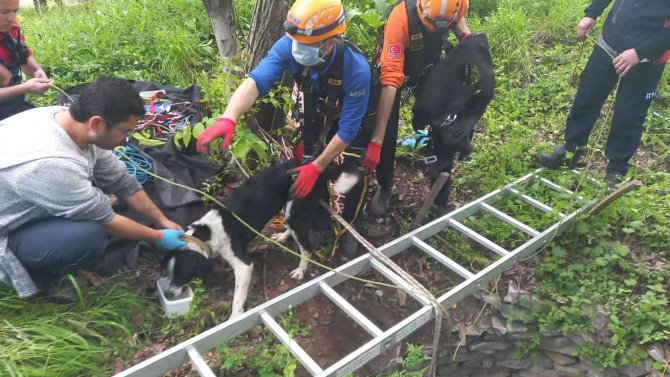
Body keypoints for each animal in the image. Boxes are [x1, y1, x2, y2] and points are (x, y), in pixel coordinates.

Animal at [160, 159, 360, 318]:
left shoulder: (244, 266)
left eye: (182, 274)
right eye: (168, 272)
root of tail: (313, 166)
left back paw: (300, 270)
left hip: (297, 209)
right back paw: (283, 236)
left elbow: (237, 298)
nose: (167, 294)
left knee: (307, 248)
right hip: (290, 211)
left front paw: (235, 318)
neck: (206, 233)